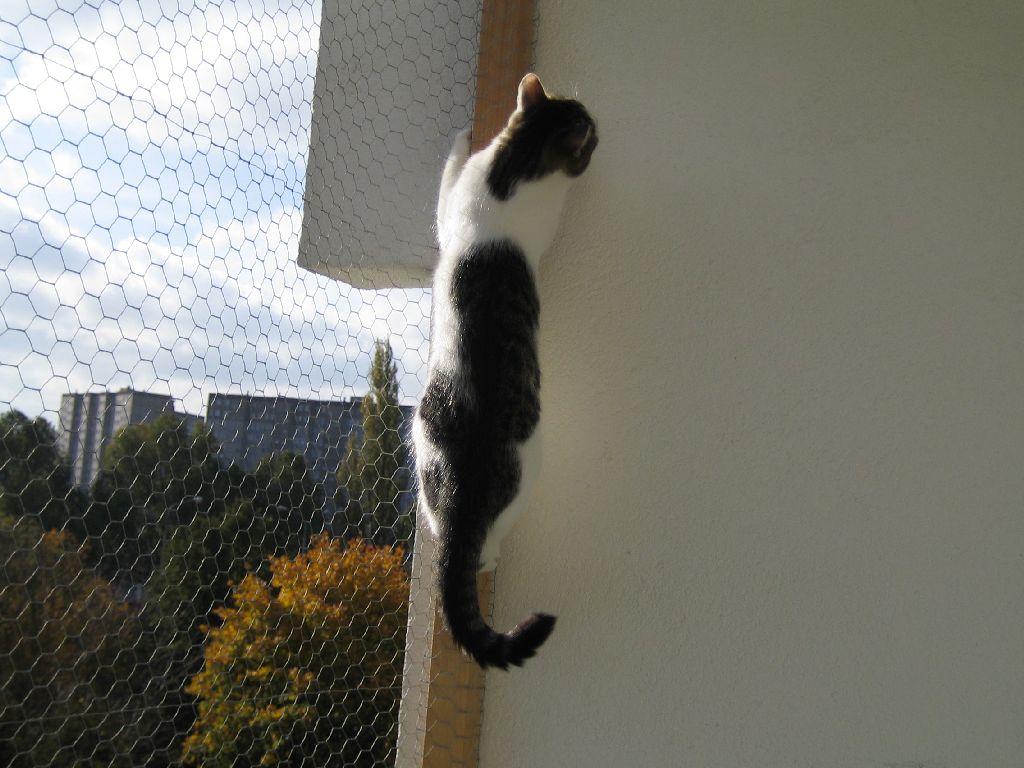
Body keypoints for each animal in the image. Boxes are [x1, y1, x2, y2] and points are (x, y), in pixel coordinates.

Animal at [412, 73, 598, 669]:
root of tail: (464, 488)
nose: (600, 133)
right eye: (589, 131)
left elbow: (446, 177)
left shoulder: (450, 205)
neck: (515, 167)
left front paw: (461, 136)